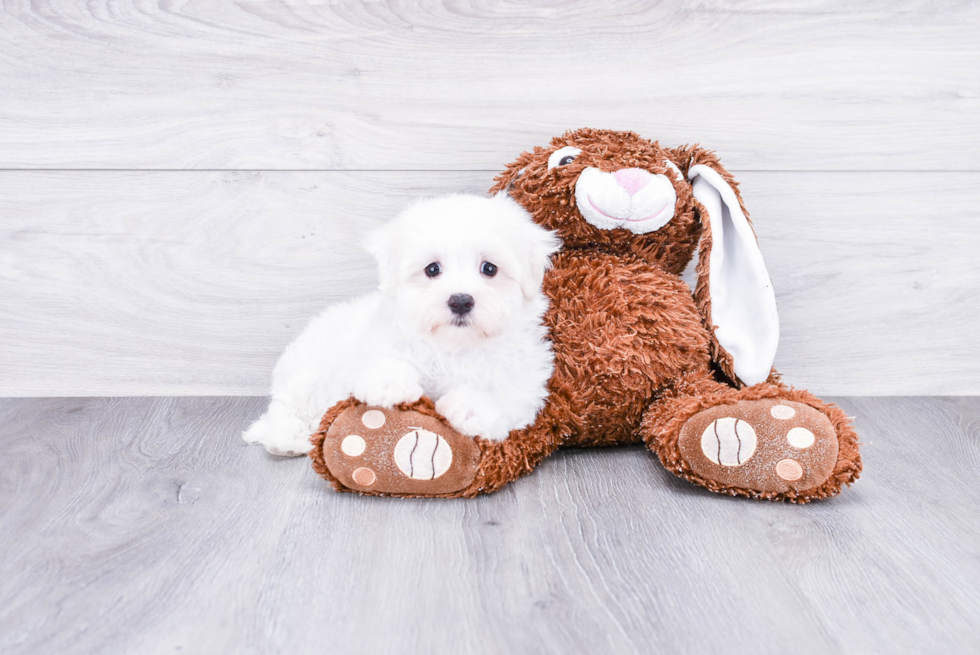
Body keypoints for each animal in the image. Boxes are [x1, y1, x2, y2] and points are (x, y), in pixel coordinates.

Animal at [243, 195, 560, 456]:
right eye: (432, 269)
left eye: (489, 269)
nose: (460, 301)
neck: (456, 346)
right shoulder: (374, 343)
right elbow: (384, 359)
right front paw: (390, 383)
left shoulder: (524, 382)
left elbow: (505, 397)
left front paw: (470, 409)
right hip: (307, 373)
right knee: (285, 408)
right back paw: (289, 439)